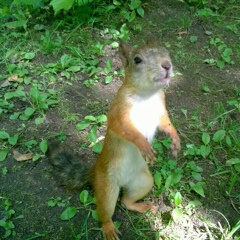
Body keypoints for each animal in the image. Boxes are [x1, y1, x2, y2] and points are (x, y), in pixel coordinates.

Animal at [47, 41, 180, 240]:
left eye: (167, 53)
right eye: (137, 60)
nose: (167, 65)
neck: (147, 95)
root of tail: (94, 172)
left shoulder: (160, 110)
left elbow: (166, 124)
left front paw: (175, 139)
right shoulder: (119, 112)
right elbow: (126, 130)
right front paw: (144, 146)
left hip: (144, 182)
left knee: (126, 202)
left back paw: (141, 206)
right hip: (107, 188)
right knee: (105, 212)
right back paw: (109, 228)